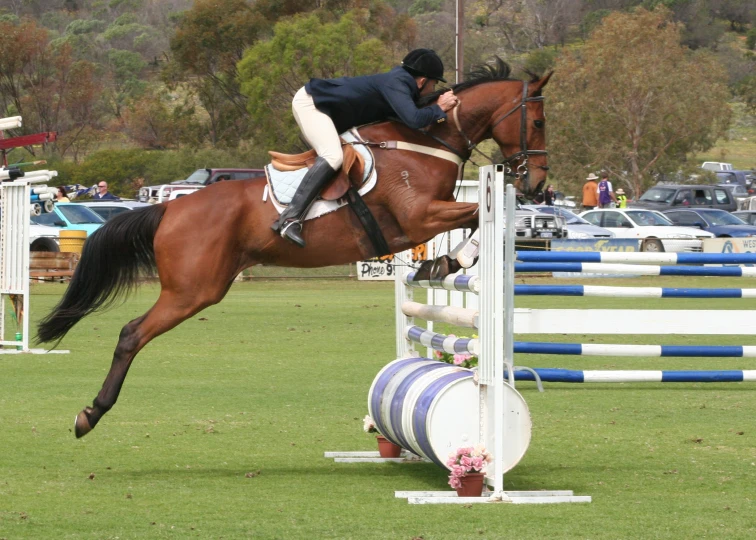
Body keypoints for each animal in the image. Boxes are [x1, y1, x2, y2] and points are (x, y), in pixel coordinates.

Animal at [38, 58, 552, 438]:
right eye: (539, 120)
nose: (539, 186)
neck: (425, 142)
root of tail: (168, 209)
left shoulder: (426, 219)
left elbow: (478, 220)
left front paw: (442, 262)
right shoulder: (419, 216)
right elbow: (480, 216)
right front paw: (457, 258)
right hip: (191, 290)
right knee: (131, 334)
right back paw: (90, 414)